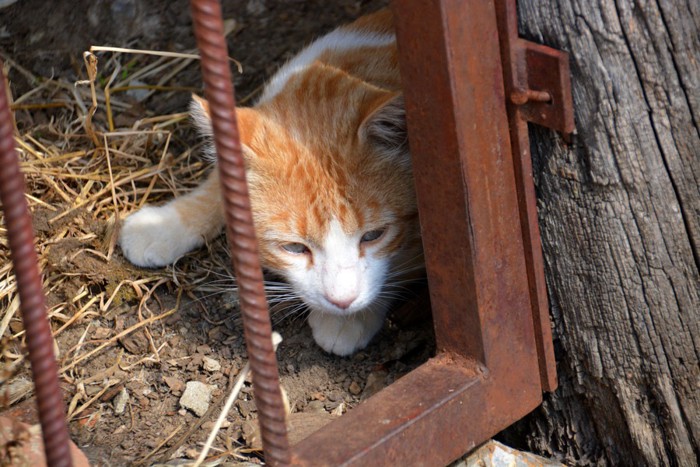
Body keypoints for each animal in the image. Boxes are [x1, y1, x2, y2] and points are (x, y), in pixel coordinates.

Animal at [118, 9, 424, 356]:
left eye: (374, 235)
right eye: (294, 247)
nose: (342, 301)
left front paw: (349, 320)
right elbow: (222, 185)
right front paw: (162, 225)